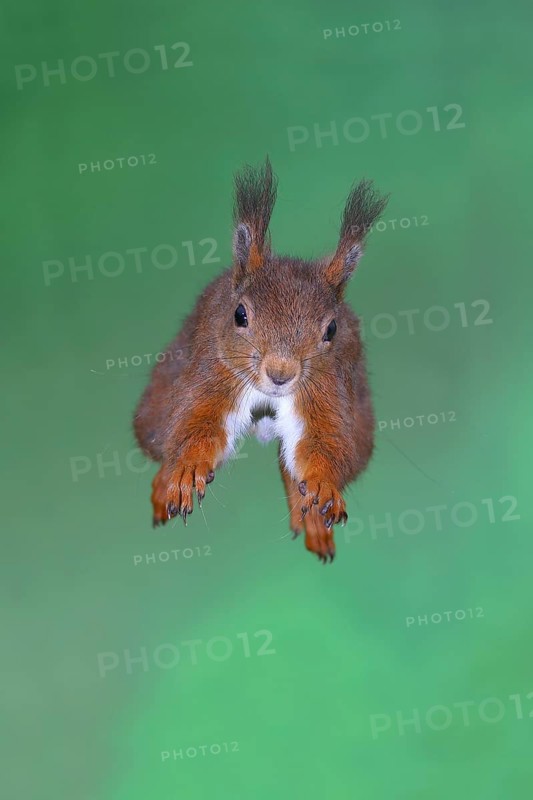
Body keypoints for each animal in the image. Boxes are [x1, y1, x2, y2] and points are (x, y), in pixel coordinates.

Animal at [133, 157, 389, 563]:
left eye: (331, 330)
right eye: (240, 315)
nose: (280, 374)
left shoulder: (327, 396)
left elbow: (325, 444)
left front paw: (323, 485)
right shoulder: (212, 378)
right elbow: (195, 427)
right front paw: (186, 471)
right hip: (156, 407)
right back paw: (164, 487)